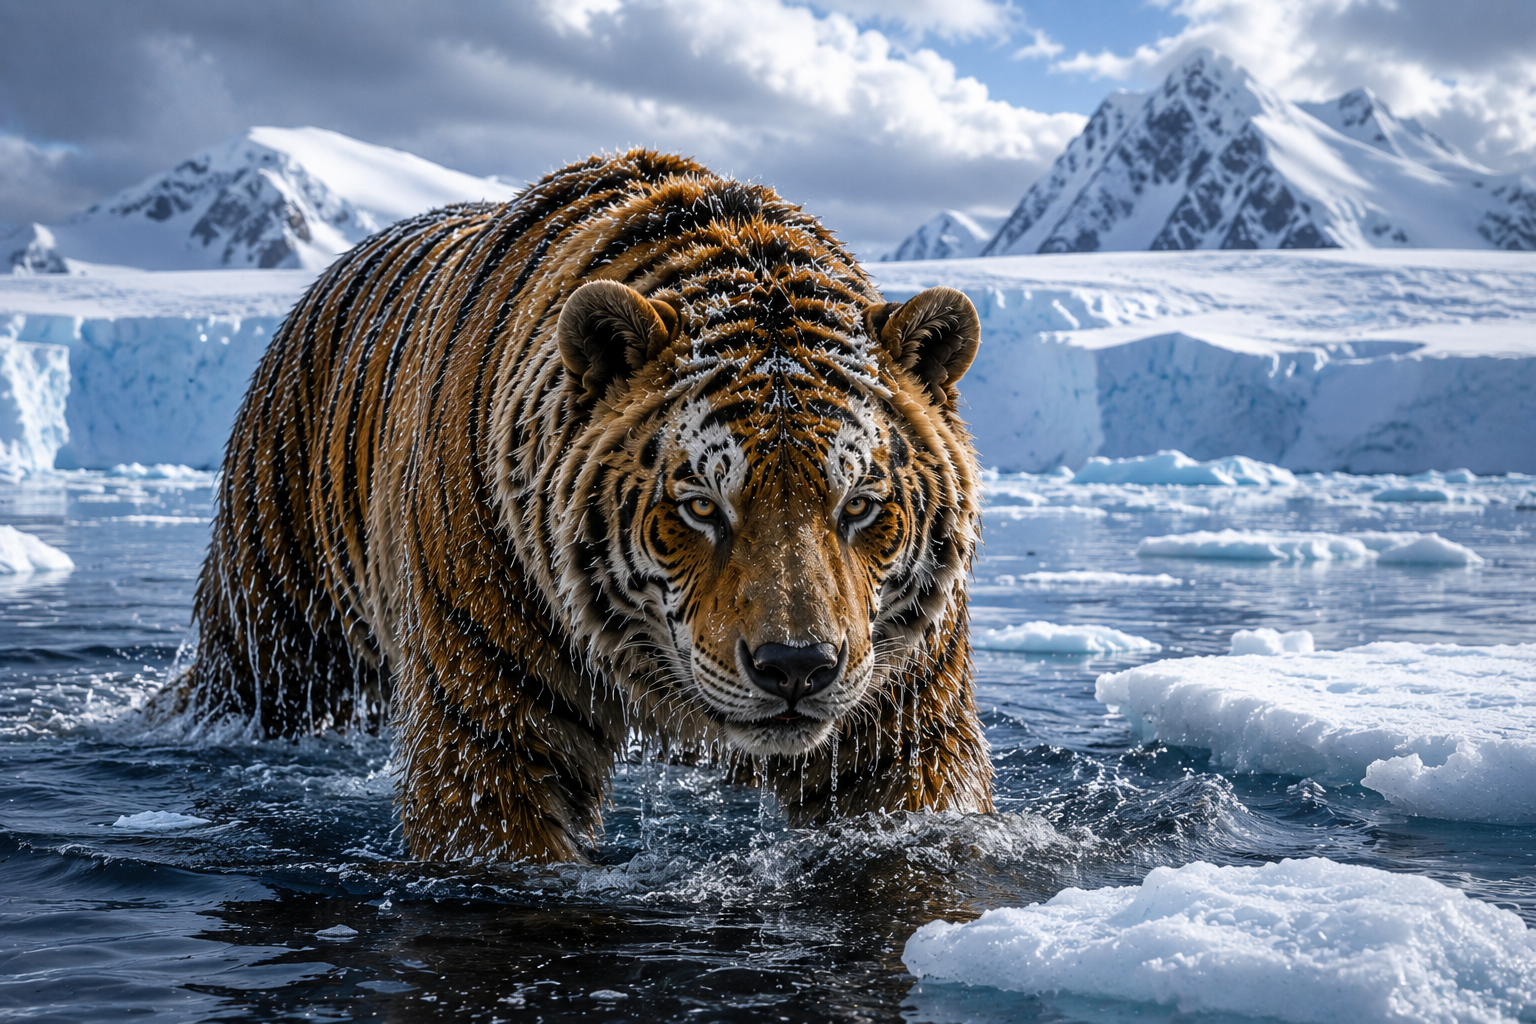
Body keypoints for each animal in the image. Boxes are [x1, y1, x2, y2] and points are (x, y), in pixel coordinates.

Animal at [184, 149, 993, 862]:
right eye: (702, 507)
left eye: (858, 506)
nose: (796, 669)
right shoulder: (489, 726)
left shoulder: (902, 715)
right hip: (277, 634)